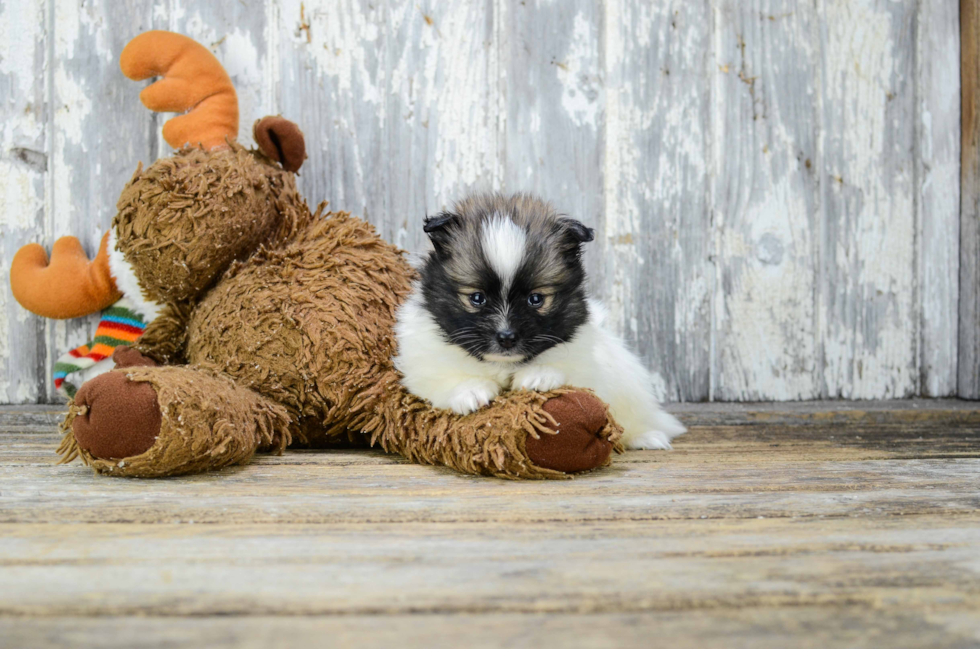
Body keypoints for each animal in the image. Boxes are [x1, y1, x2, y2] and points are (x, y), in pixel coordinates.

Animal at [394, 190, 684, 448]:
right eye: (477, 298)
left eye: (536, 299)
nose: (506, 337)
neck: (504, 364)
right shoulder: (423, 362)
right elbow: (440, 379)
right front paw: (470, 391)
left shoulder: (586, 360)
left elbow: (568, 367)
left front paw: (539, 375)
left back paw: (647, 436)